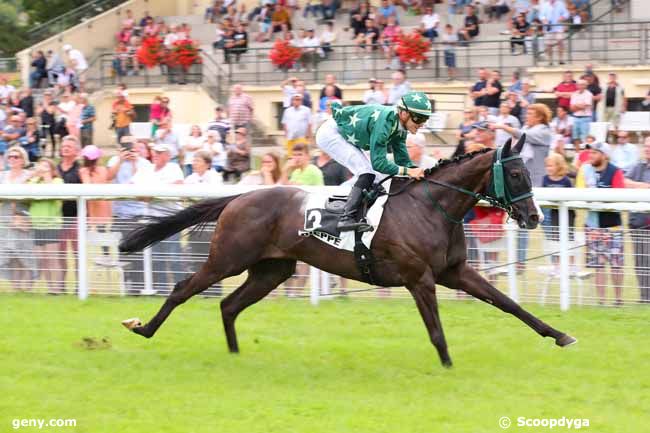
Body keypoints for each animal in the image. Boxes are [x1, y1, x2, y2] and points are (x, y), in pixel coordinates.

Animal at [120, 137, 572, 366]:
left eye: (528, 171)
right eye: (516, 174)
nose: (534, 217)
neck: (432, 207)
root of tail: (241, 195)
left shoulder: (455, 272)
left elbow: (508, 303)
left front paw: (560, 335)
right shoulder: (420, 279)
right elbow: (436, 329)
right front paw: (448, 365)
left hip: (272, 270)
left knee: (229, 305)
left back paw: (235, 354)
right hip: (228, 258)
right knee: (183, 288)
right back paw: (143, 328)